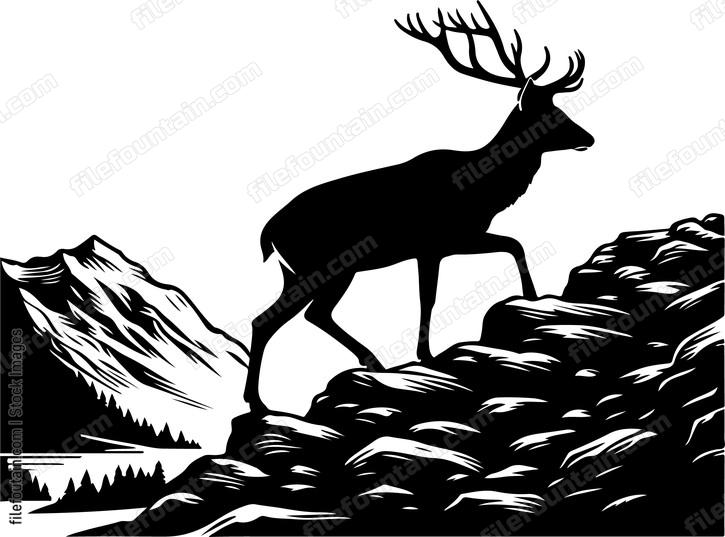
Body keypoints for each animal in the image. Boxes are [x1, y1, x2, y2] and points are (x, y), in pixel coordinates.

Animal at [244, 1, 594, 412]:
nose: (588, 137)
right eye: (553, 115)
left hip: (297, 272)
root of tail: (268, 233)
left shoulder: (455, 240)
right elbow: (432, 295)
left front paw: (532, 298)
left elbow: (513, 244)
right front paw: (427, 355)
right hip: (324, 266)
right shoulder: (435, 243)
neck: (481, 187)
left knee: (278, 318)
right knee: (301, 315)